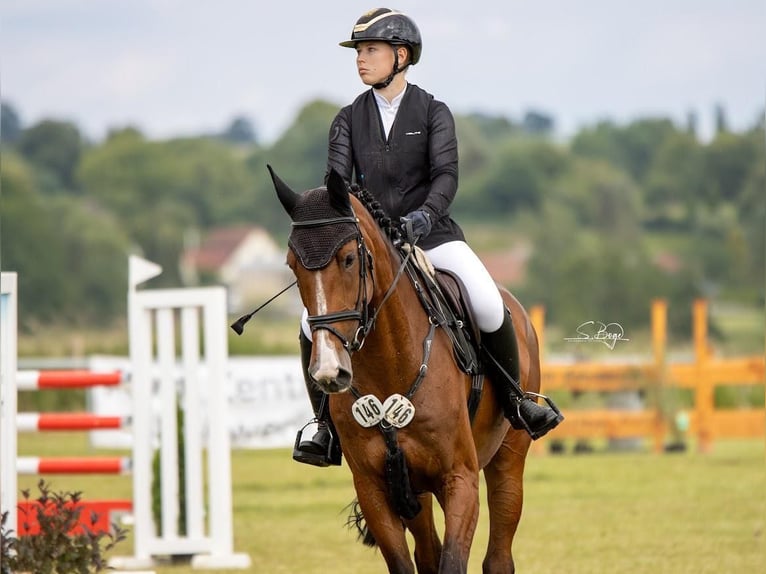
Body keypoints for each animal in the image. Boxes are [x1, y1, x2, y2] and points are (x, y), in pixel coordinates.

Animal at [270, 166, 540, 574]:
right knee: (428, 553)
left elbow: (453, 562)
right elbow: (408, 562)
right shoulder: (376, 489)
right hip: (414, 489)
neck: (391, 365)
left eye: (348, 259)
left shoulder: (460, 480)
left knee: (498, 558)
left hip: (508, 459)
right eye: (292, 264)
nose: (329, 370)